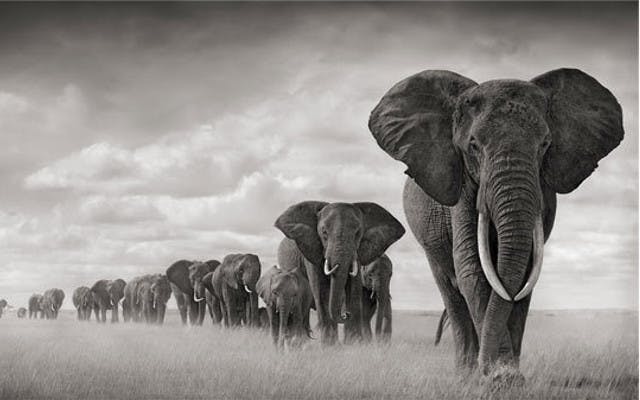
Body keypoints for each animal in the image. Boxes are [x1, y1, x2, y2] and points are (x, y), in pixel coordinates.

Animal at [274, 201, 405, 345]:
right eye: (324, 232)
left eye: (358, 233)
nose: (345, 314)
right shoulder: (311, 249)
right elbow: (322, 289)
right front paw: (330, 345)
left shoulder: (359, 252)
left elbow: (353, 287)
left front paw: (354, 344)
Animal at [368, 68, 623, 376]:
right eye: (473, 145)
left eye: (545, 145)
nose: (490, 369)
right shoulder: (463, 186)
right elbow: (472, 268)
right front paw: (498, 377)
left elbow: (524, 272)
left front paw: (507, 374)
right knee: (451, 292)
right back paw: (465, 372)